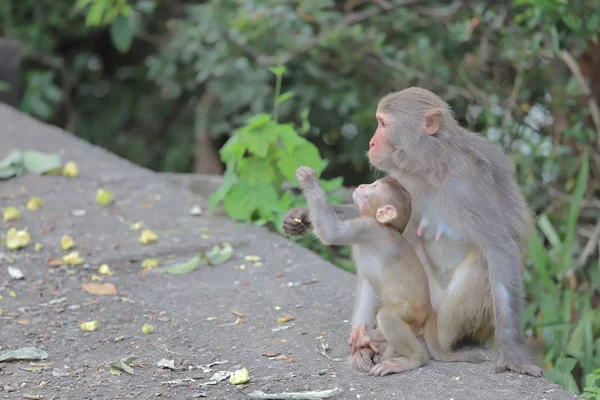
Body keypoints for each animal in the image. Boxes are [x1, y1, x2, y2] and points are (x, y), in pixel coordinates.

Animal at [296, 165, 488, 376]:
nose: (361, 185)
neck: (383, 224)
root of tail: (429, 310)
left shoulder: (367, 228)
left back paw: (412, 358)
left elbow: (332, 232)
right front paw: (360, 345)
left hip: (413, 313)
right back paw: (380, 344)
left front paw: (309, 180)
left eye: (373, 187)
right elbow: (367, 289)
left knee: (387, 316)